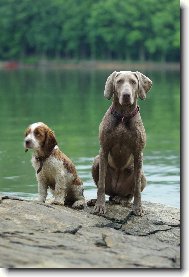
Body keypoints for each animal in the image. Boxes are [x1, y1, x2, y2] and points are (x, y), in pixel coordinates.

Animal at [91, 70, 152, 215]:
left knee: (129, 193)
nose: (126, 95)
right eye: (119, 81)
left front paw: (138, 208)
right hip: (96, 161)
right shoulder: (104, 149)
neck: (123, 116)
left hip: (141, 174)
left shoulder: (138, 152)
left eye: (133, 82)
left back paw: (123, 200)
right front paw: (100, 205)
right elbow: (101, 184)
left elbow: (136, 188)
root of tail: (116, 192)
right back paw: (94, 200)